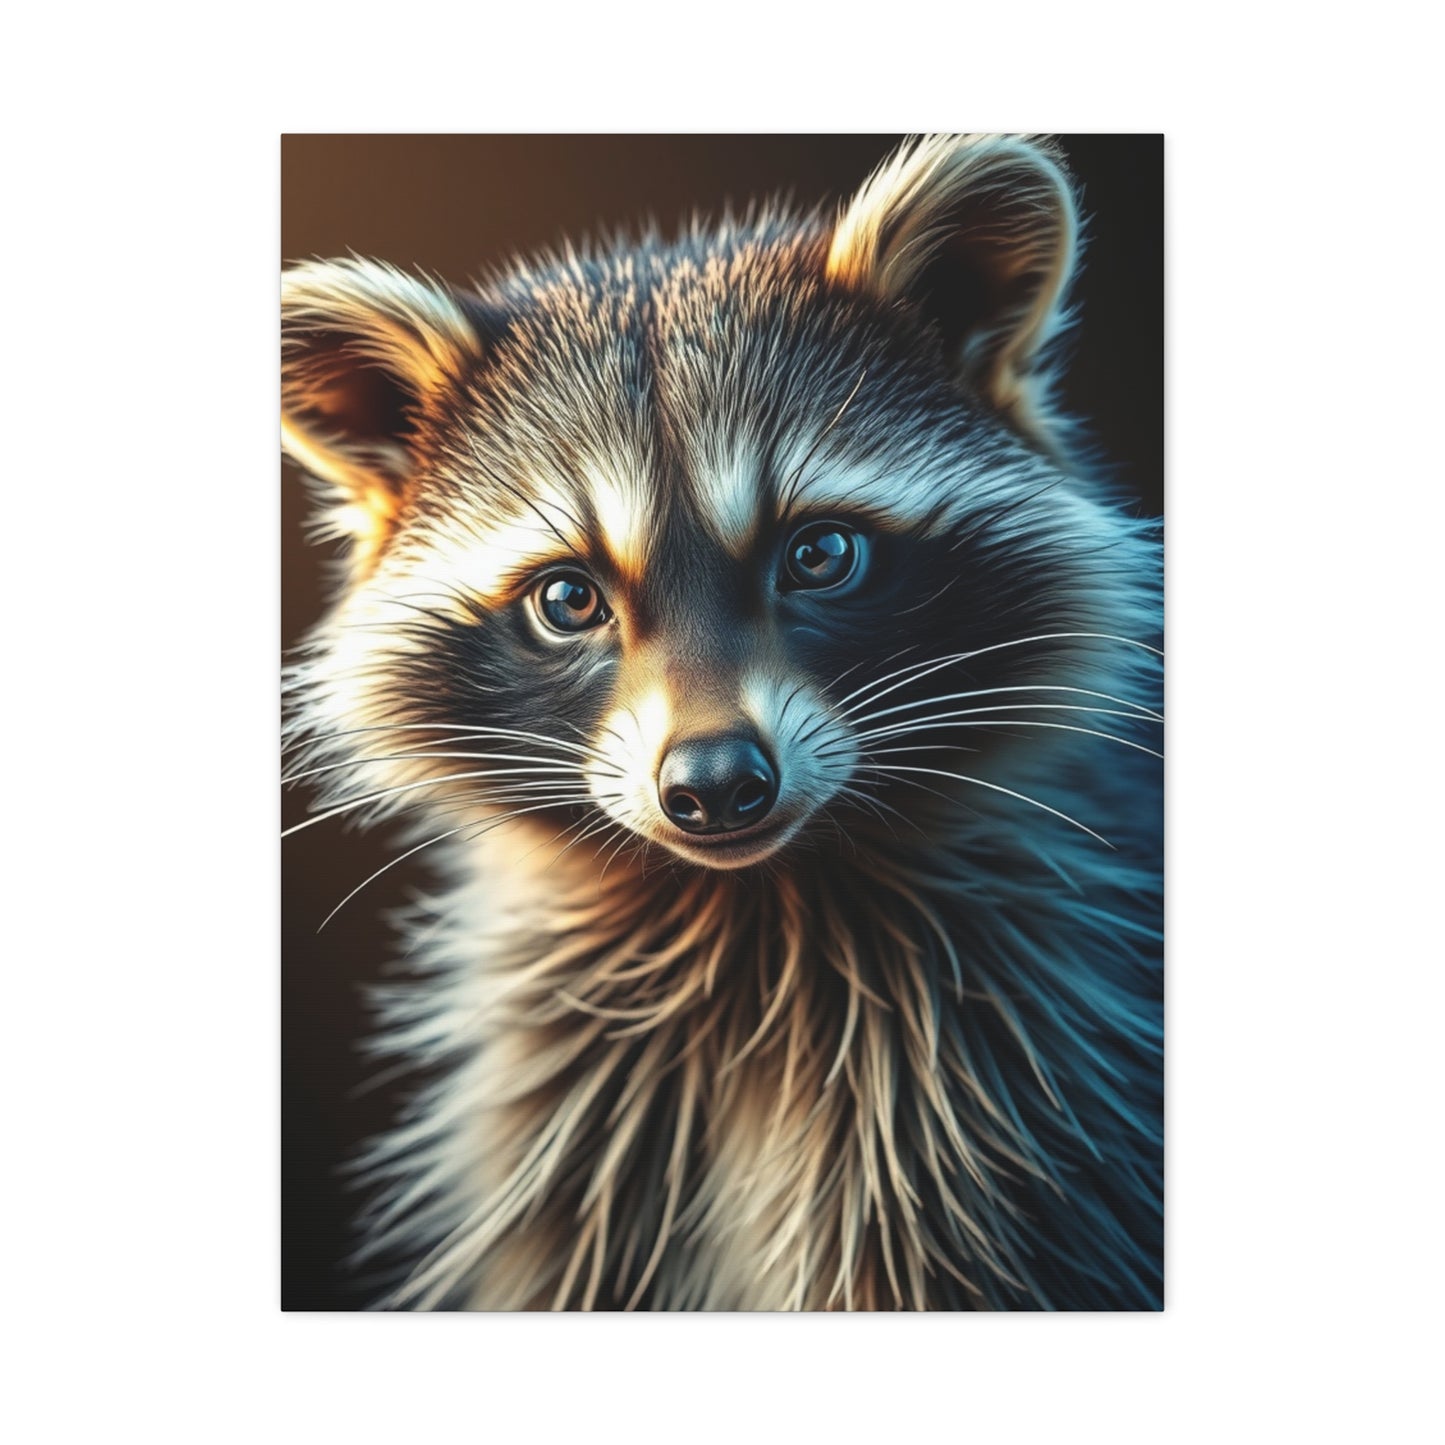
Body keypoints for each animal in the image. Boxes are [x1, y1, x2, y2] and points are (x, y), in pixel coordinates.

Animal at [282, 134, 1163, 1310]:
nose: (711, 784)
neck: (753, 907)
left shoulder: (1002, 1095)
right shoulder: (576, 1124)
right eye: (568, 599)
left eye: (820, 553)